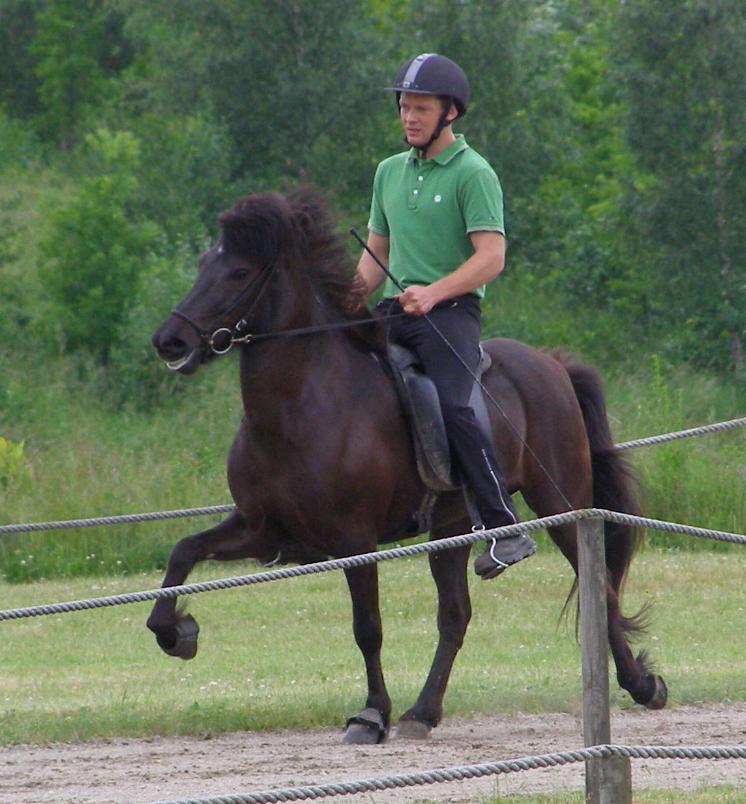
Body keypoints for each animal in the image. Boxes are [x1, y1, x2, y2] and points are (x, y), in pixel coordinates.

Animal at [148, 187, 664, 740]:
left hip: (561, 504)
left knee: (600, 590)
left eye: (239, 272)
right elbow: (183, 552)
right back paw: (423, 712)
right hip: (451, 528)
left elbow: (367, 628)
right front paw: (176, 632)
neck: (302, 401)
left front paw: (371, 713)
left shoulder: (355, 540)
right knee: (455, 616)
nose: (169, 341)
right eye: (204, 263)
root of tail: (550, 362)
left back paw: (642, 685)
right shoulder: (262, 530)